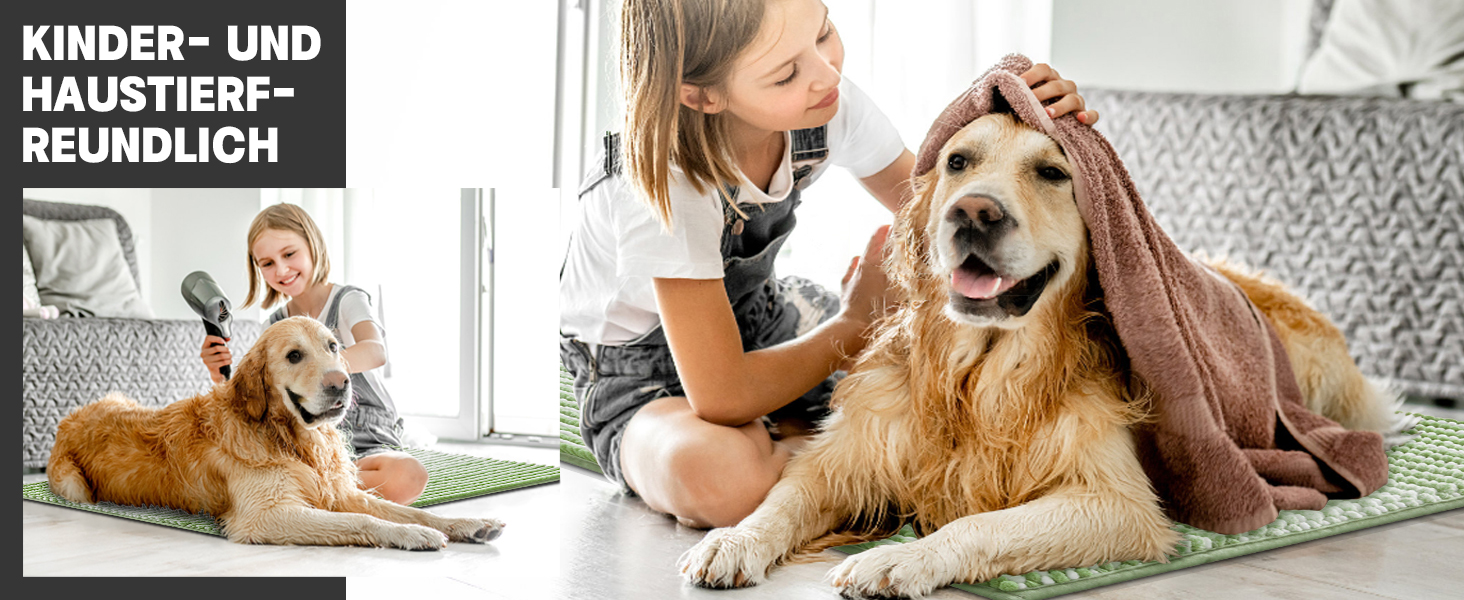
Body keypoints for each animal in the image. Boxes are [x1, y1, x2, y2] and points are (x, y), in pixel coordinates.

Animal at [48, 316, 506, 550]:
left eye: (333, 346)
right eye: (294, 355)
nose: (341, 383)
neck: (291, 439)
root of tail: (69, 419)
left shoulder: (340, 492)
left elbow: (409, 510)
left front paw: (467, 522)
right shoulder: (266, 515)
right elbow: (363, 520)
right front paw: (413, 535)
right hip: (74, 486)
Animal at [679, 114, 1399, 597]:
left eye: (1053, 173)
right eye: (958, 163)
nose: (973, 213)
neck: (978, 374)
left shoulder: (1117, 502)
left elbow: (980, 525)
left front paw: (899, 559)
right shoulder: (849, 454)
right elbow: (782, 500)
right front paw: (734, 540)